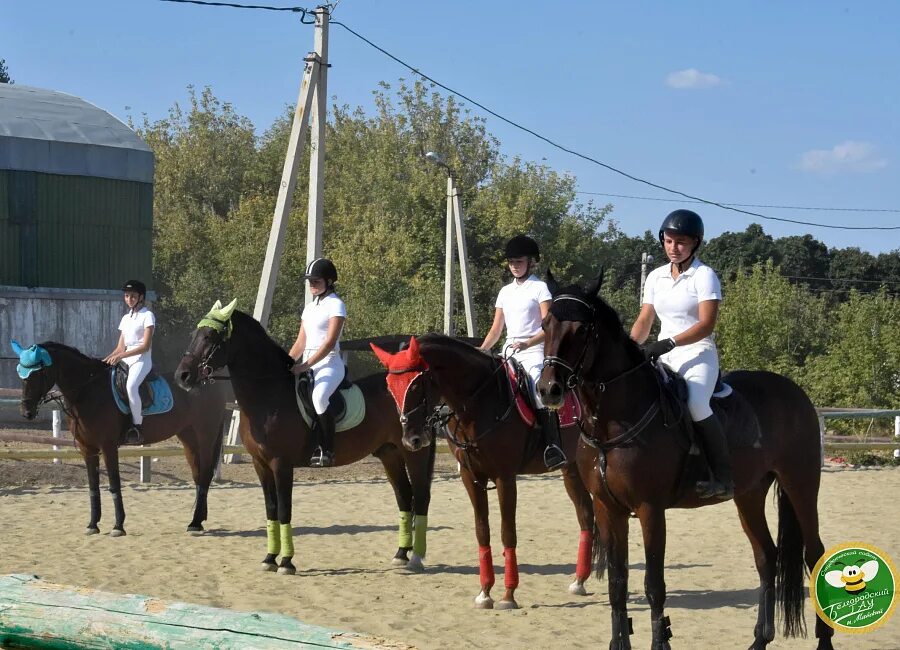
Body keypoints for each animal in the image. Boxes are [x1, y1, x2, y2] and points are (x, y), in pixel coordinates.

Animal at [14, 340, 229, 532]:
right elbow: (93, 486)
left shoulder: (108, 446)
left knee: (205, 474)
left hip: (205, 436)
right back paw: (197, 520)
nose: (27, 412)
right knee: (198, 475)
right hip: (188, 437)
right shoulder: (87, 449)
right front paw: (93, 525)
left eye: (38, 372)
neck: (88, 390)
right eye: (21, 373)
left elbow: (114, 484)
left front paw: (118, 526)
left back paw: (196, 523)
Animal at [175, 300, 436, 572]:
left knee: (420, 497)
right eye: (194, 334)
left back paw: (416, 558)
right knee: (404, 497)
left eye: (210, 336)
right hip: (389, 453)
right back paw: (401, 554)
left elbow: (284, 510)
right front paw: (269, 559)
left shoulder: (281, 463)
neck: (268, 395)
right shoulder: (260, 464)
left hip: (413, 451)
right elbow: (271, 509)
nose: (182, 376)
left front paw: (286, 562)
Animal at [370, 334, 596, 608]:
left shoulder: (505, 477)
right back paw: (579, 581)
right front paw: (485, 592)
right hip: (571, 468)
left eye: (415, 386)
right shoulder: (471, 477)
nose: (411, 440)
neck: (479, 402)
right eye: (391, 387)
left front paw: (508, 595)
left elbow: (507, 532)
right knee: (585, 513)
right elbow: (482, 530)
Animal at [536, 272, 836, 648]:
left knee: (815, 554)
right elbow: (618, 585)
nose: (548, 390)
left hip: (800, 485)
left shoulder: (650, 509)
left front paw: (660, 641)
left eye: (580, 330)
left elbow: (654, 585)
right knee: (767, 556)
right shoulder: (608, 509)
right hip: (749, 494)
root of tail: (795, 392)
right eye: (545, 324)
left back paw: (823, 640)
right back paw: (759, 639)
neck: (613, 419)